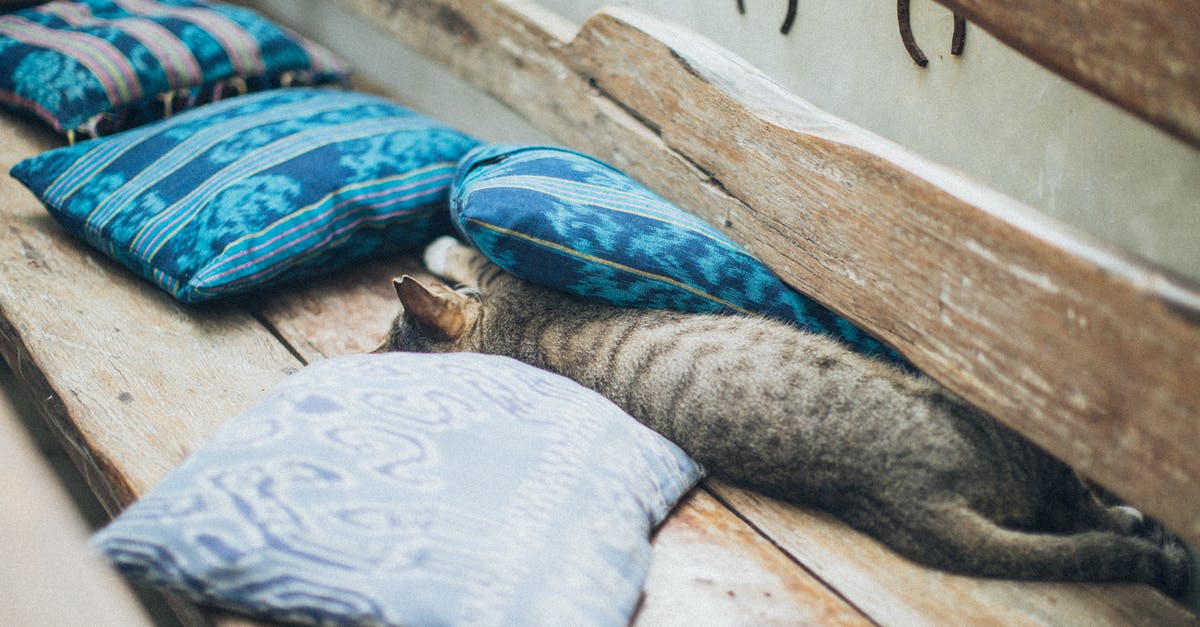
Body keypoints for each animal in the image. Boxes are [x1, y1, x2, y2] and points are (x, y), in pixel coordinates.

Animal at [379, 234, 1185, 590]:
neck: (509, 339)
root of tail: (911, 499)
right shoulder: (518, 286)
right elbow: (484, 260)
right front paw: (449, 242)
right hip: (1005, 431)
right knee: (1076, 505)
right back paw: (1141, 525)